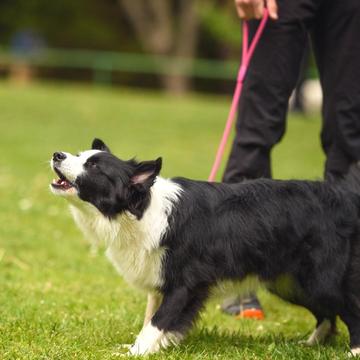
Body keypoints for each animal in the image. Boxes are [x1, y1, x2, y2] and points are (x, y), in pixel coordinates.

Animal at [50, 139, 360, 356]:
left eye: (94, 167)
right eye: (78, 155)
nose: (57, 154)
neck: (139, 210)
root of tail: (343, 195)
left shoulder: (185, 283)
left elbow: (157, 321)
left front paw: (138, 352)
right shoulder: (159, 279)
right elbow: (151, 317)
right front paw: (147, 347)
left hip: (321, 278)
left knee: (349, 306)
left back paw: (353, 351)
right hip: (290, 282)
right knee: (327, 314)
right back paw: (310, 344)